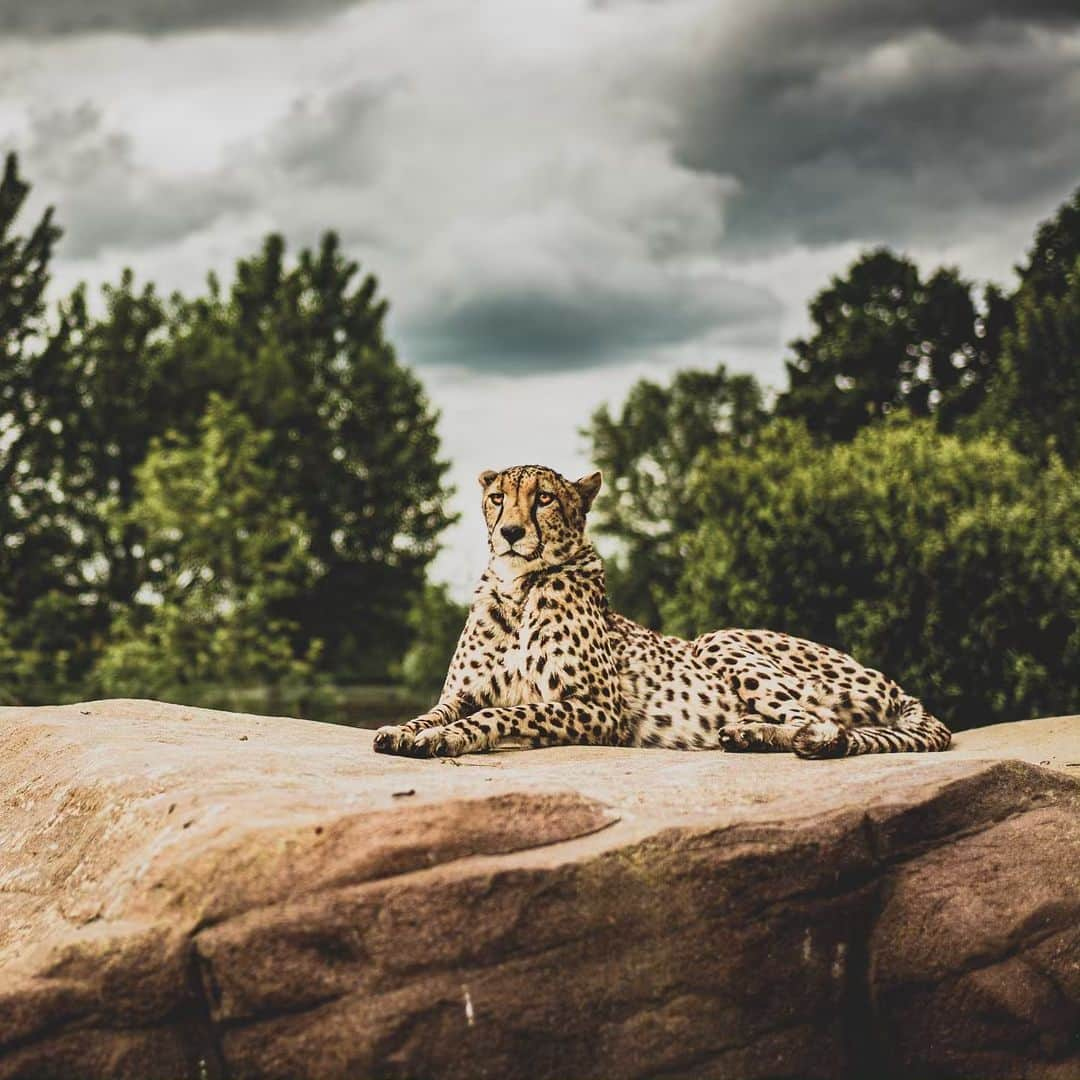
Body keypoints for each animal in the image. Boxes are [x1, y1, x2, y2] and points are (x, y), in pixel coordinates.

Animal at [375, 464, 950, 760]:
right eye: (497, 497)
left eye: (543, 499)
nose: (512, 532)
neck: (518, 591)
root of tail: (897, 685)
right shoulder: (463, 692)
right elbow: (437, 710)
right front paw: (407, 729)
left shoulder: (599, 709)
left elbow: (508, 712)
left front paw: (448, 737)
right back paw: (748, 734)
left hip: (721, 638)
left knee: (825, 727)